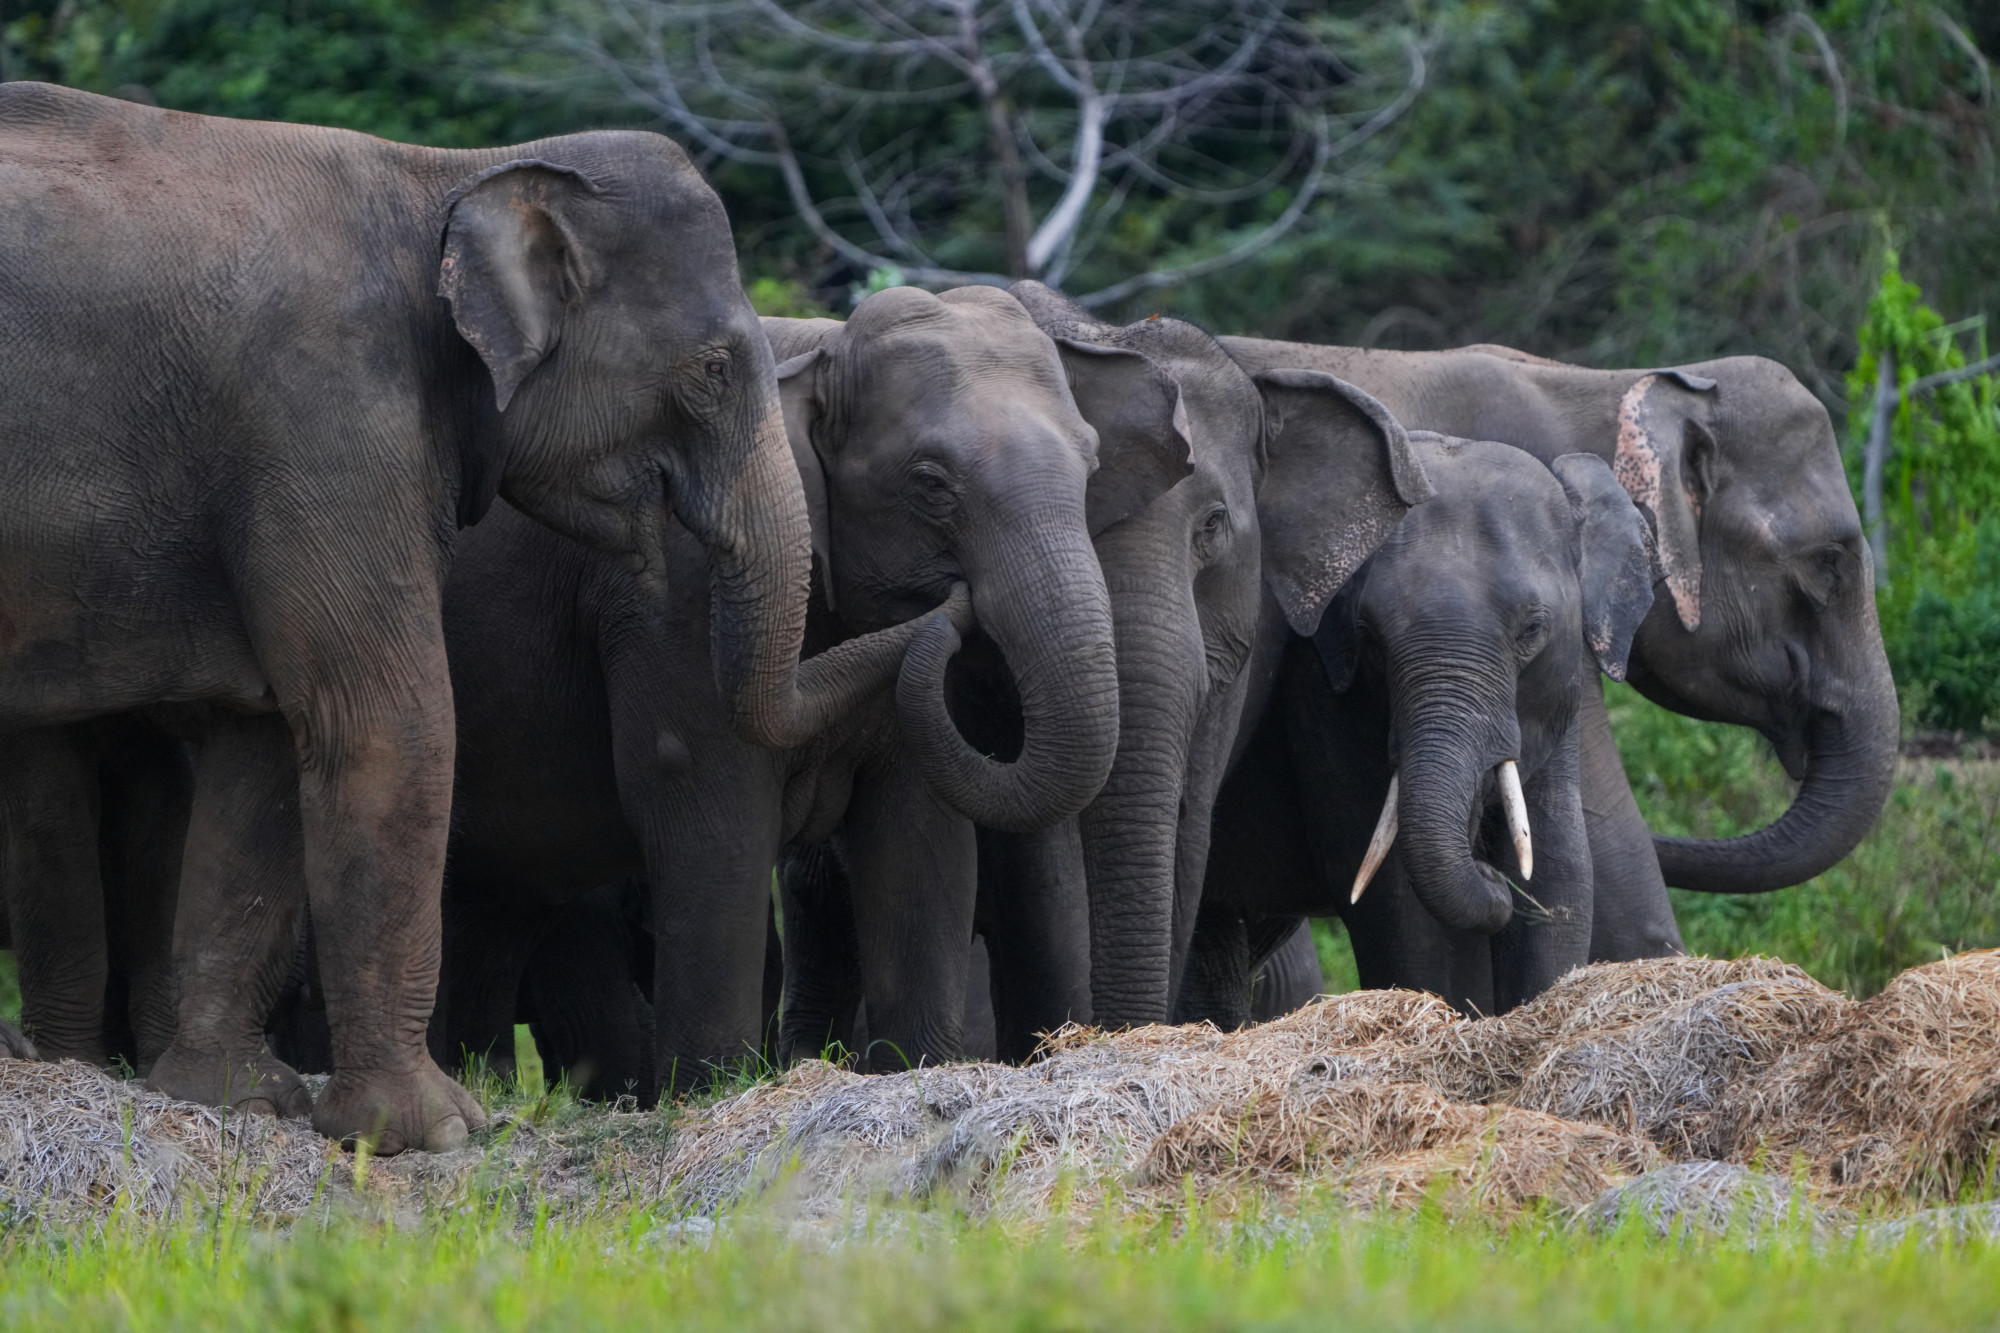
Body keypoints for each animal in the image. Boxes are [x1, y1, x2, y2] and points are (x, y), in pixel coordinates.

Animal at [0, 83, 920, 1144]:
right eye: (713, 370)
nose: (947, 614)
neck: (448, 174)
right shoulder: (327, 419)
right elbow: (383, 718)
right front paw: (436, 1129)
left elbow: (266, 740)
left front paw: (236, 1097)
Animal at [428, 282, 1176, 1088]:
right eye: (930, 484)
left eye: (1092, 467)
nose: (955, 608)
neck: (821, 353)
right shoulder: (678, 594)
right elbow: (706, 809)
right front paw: (711, 1091)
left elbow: (922, 836)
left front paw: (916, 1069)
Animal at [1184, 436, 1656, 1016]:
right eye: (1370, 636)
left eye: (1533, 629)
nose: (1488, 872)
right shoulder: (1322, 690)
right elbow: (1400, 903)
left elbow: (1560, 870)